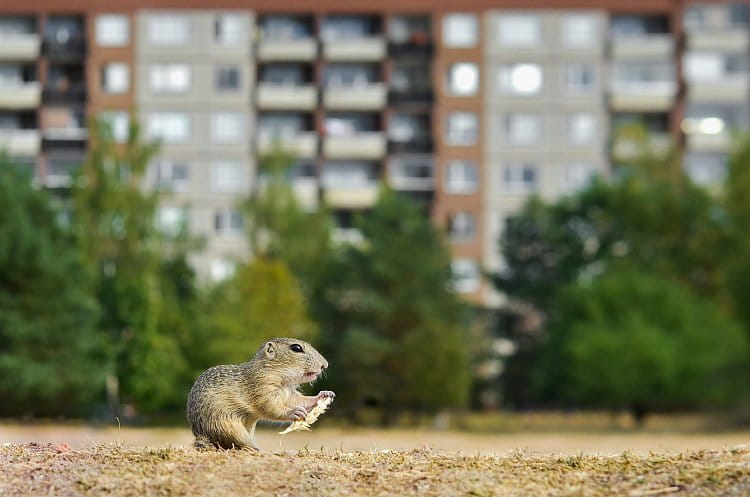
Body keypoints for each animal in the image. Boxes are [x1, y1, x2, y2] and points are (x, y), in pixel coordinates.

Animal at [186, 338, 334, 450]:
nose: (325, 365)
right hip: (227, 427)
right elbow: (270, 408)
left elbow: (300, 401)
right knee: (240, 445)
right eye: (296, 348)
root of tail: (202, 436)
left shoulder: (289, 395)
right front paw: (294, 412)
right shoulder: (262, 390)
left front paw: (324, 394)